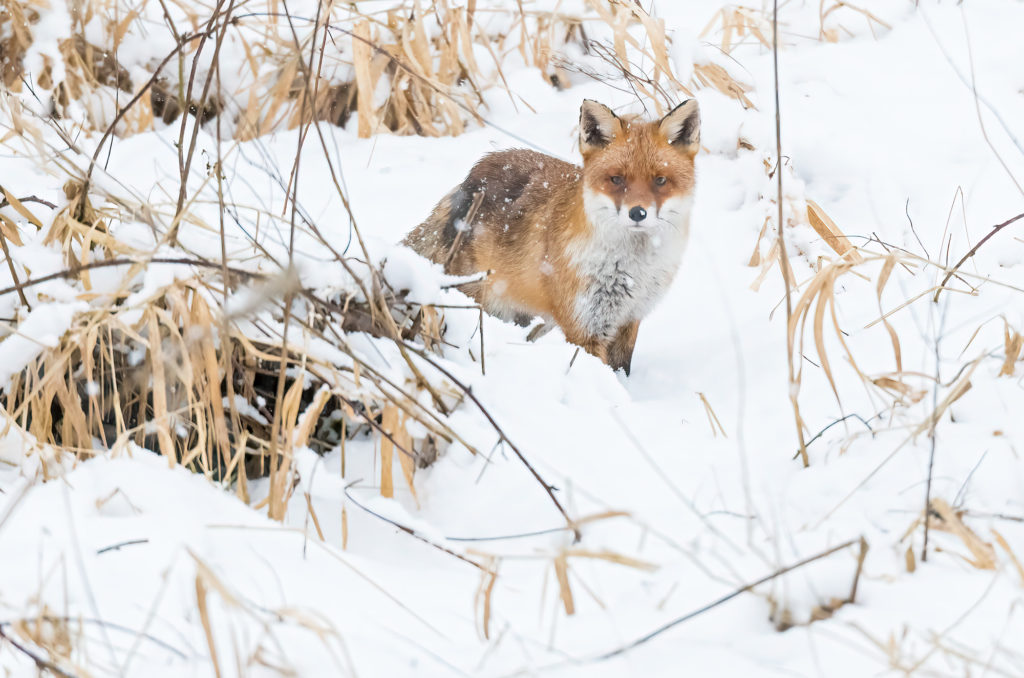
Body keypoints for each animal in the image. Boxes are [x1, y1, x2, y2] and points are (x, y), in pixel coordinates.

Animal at [403, 100, 700, 374]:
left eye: (660, 181)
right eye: (616, 179)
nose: (638, 213)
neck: (632, 271)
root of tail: (468, 180)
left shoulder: (629, 319)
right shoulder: (584, 327)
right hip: (481, 304)